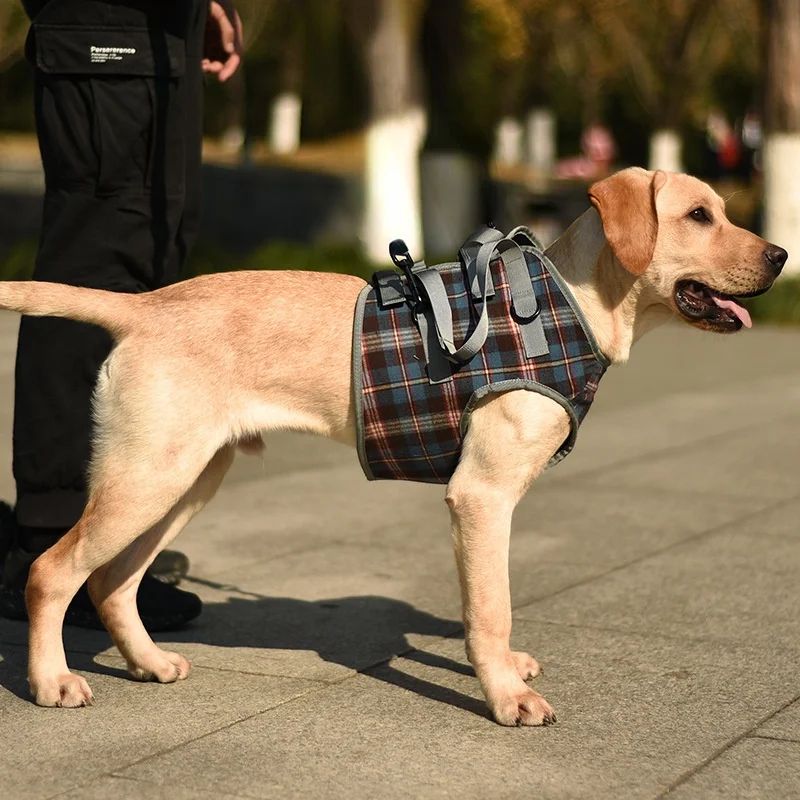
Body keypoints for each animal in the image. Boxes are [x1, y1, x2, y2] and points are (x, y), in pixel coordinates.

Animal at [0, 167, 788, 724]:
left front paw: (507, 671)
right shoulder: (481, 496)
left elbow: (492, 608)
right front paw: (505, 698)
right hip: (150, 476)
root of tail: (144, 306)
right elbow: (491, 607)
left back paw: (148, 662)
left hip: (186, 478)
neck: (567, 302)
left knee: (112, 581)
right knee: (52, 571)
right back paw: (51, 681)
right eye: (698, 216)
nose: (783, 254)